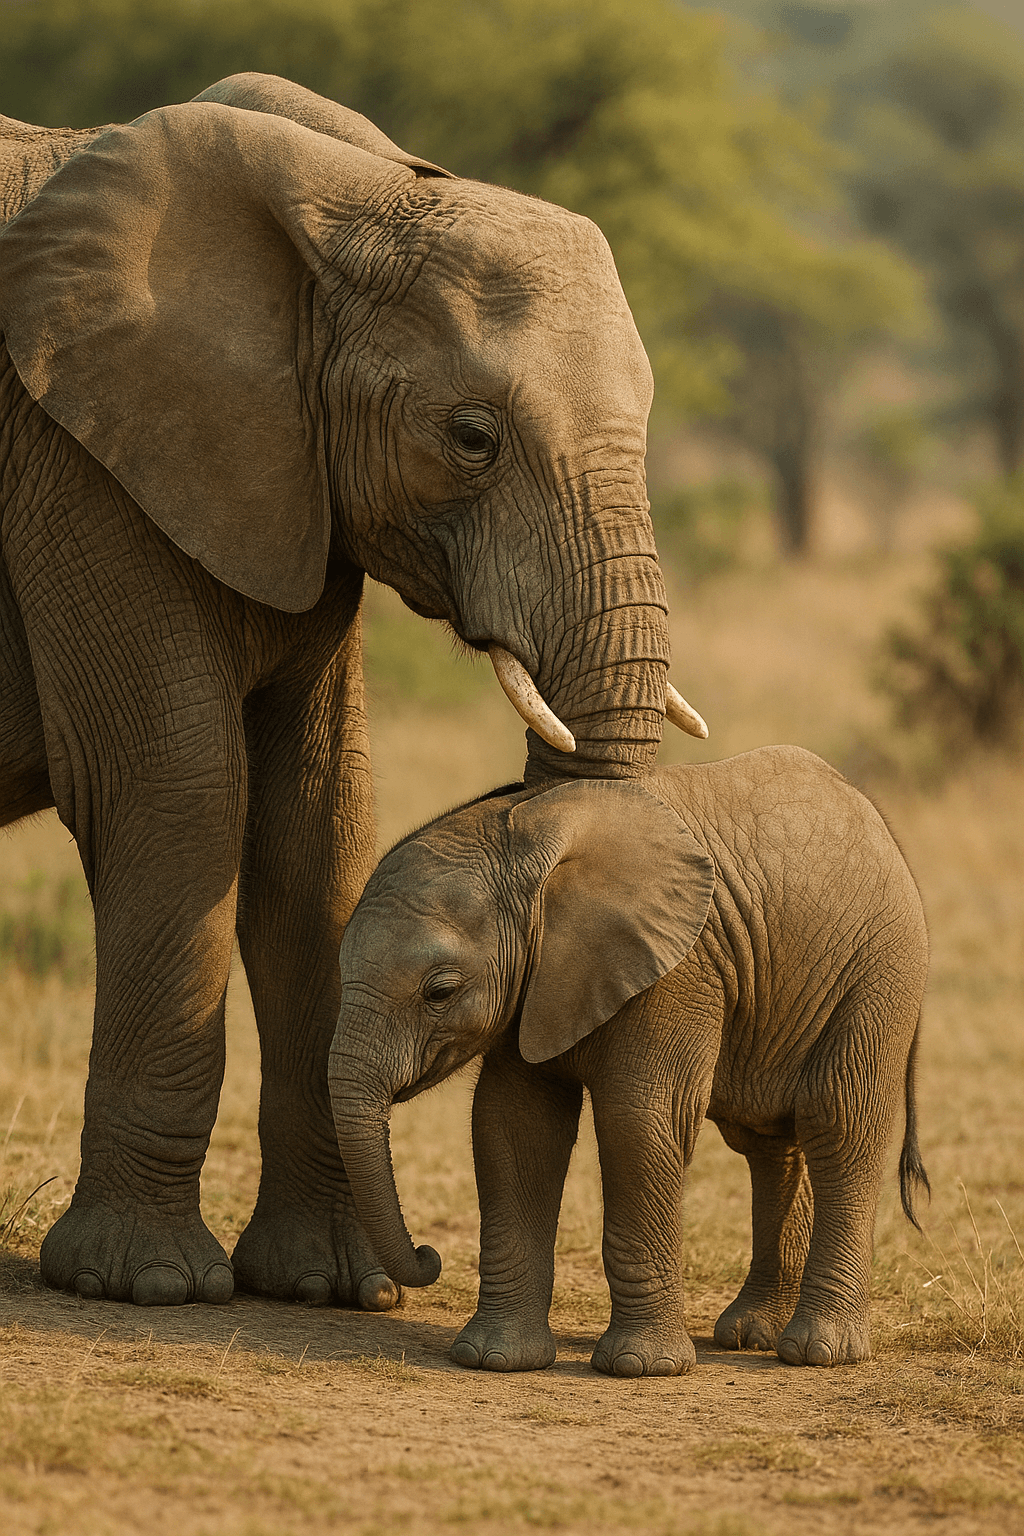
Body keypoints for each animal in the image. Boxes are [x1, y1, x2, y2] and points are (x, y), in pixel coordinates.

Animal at [0, 73, 704, 1308]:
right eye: (470, 438)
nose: (426, 1263)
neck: (347, 196)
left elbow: (318, 821)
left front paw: (334, 1286)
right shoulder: (79, 465)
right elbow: (177, 794)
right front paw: (146, 1284)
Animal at [328, 745, 930, 1375]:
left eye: (439, 992)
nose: (429, 1255)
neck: (522, 841)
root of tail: (876, 818)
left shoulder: (677, 969)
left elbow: (636, 1123)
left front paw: (642, 1367)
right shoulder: (539, 981)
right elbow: (512, 1125)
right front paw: (493, 1358)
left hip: (880, 970)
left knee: (838, 1127)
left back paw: (818, 1353)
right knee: (770, 1143)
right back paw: (750, 1335)